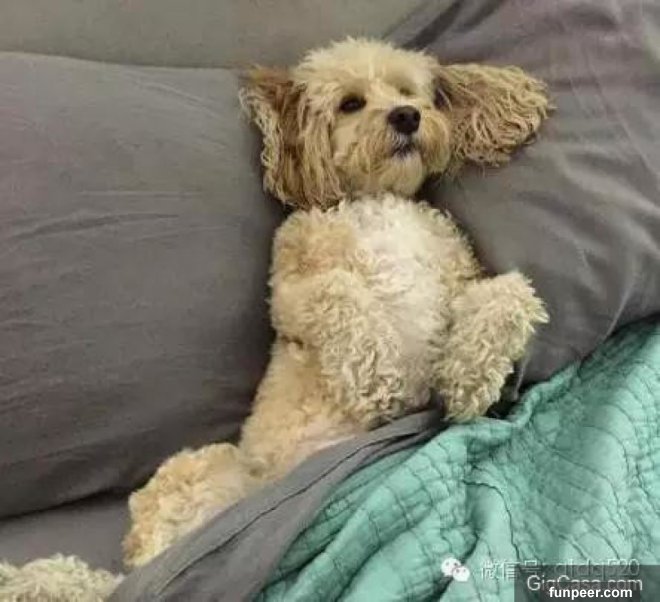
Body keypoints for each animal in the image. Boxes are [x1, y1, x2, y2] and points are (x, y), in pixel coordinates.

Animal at [123, 38, 550, 569]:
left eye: (407, 92)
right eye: (350, 103)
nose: (407, 116)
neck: (377, 201)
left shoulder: (459, 277)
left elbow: (508, 292)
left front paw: (470, 379)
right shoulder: (288, 290)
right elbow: (337, 291)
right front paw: (378, 379)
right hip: (197, 473)